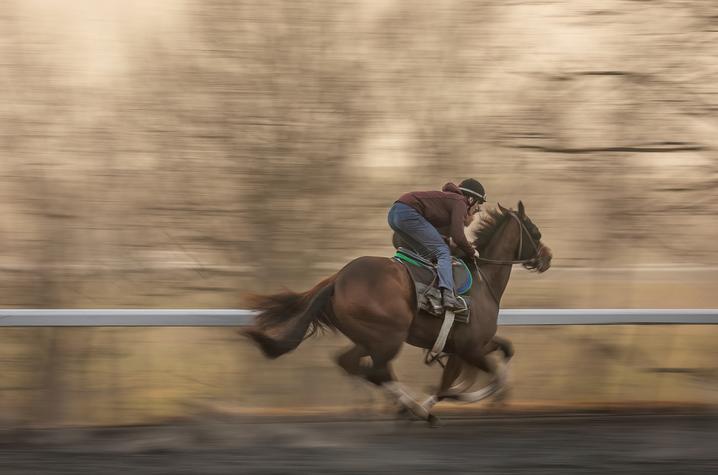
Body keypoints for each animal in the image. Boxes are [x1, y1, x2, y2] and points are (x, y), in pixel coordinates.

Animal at [243, 201, 552, 425]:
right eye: (535, 231)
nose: (547, 257)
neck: (483, 281)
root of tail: (338, 278)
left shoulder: (467, 346)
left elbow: (504, 351)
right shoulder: (469, 347)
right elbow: (479, 378)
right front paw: (460, 397)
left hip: (368, 337)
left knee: (350, 362)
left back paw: (403, 405)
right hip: (389, 334)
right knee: (377, 371)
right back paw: (411, 406)